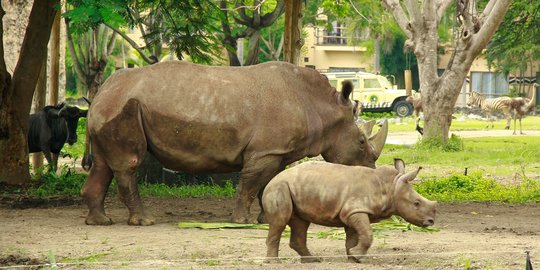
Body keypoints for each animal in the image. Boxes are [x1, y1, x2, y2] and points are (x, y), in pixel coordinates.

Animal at [82, 61, 386, 226]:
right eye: (361, 141)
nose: (372, 177)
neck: (322, 107)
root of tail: (100, 93)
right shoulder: (264, 151)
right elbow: (250, 184)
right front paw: (242, 222)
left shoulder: (277, 152)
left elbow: (269, 184)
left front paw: (268, 219)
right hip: (124, 106)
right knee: (128, 164)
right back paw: (144, 221)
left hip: (111, 108)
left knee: (103, 165)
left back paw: (100, 221)